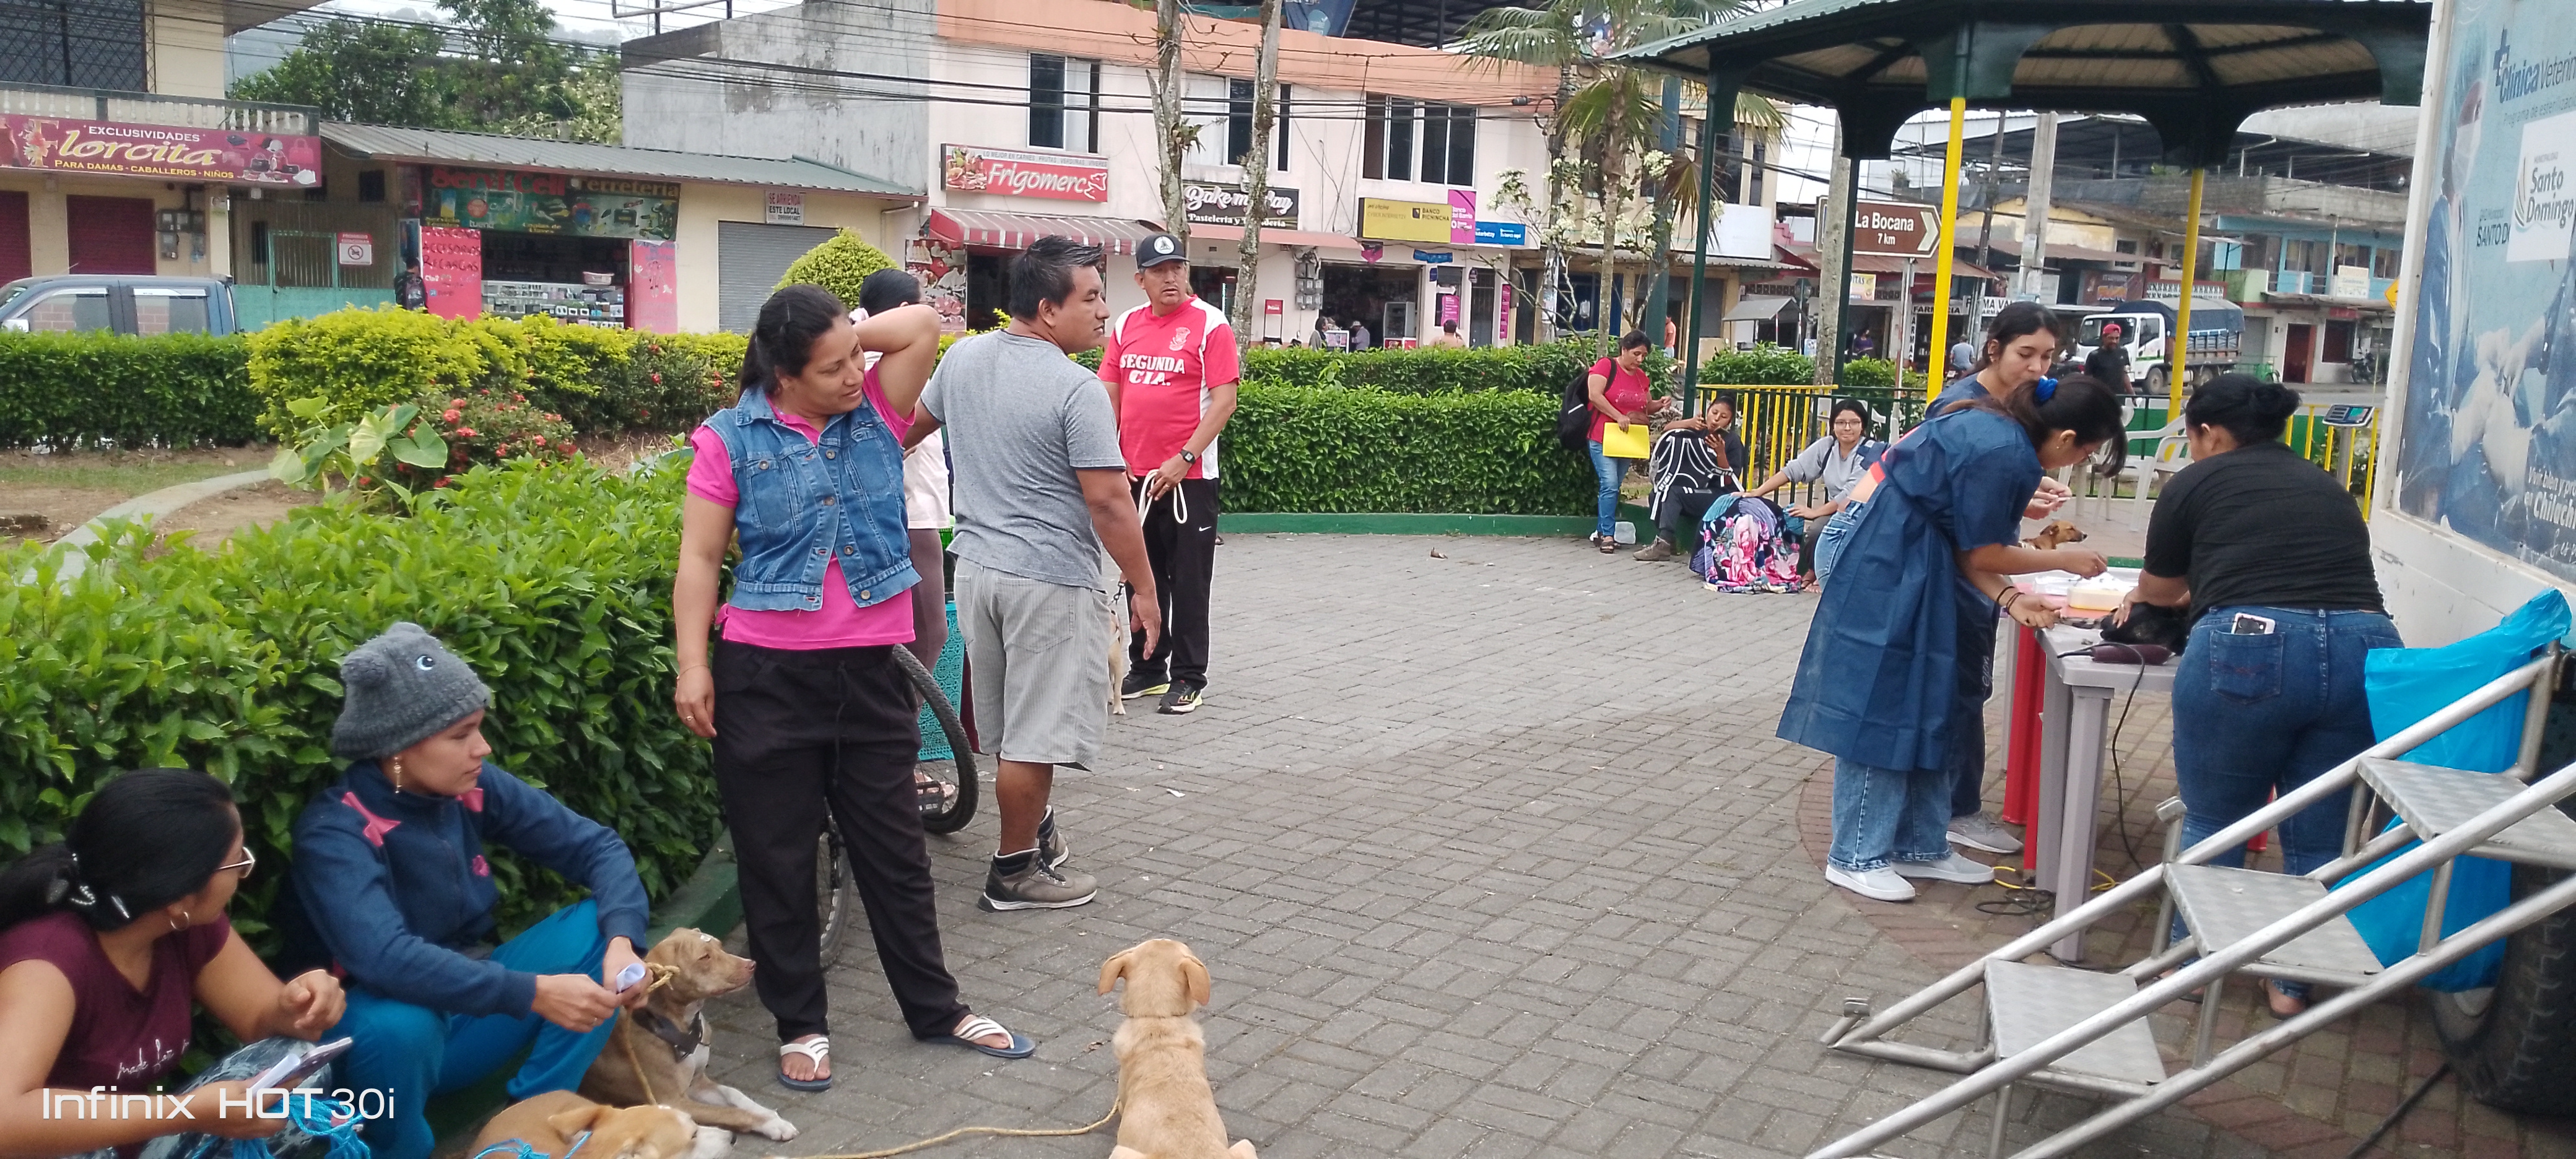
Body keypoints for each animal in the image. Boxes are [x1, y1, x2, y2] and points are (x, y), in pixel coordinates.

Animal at [579, 929, 796, 1144]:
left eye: (720, 947)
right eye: (705, 957)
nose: (752, 965)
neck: (680, 1024)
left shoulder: (697, 1083)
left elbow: (734, 1094)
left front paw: (771, 1116)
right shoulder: (673, 1102)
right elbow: (730, 1113)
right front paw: (770, 1125)